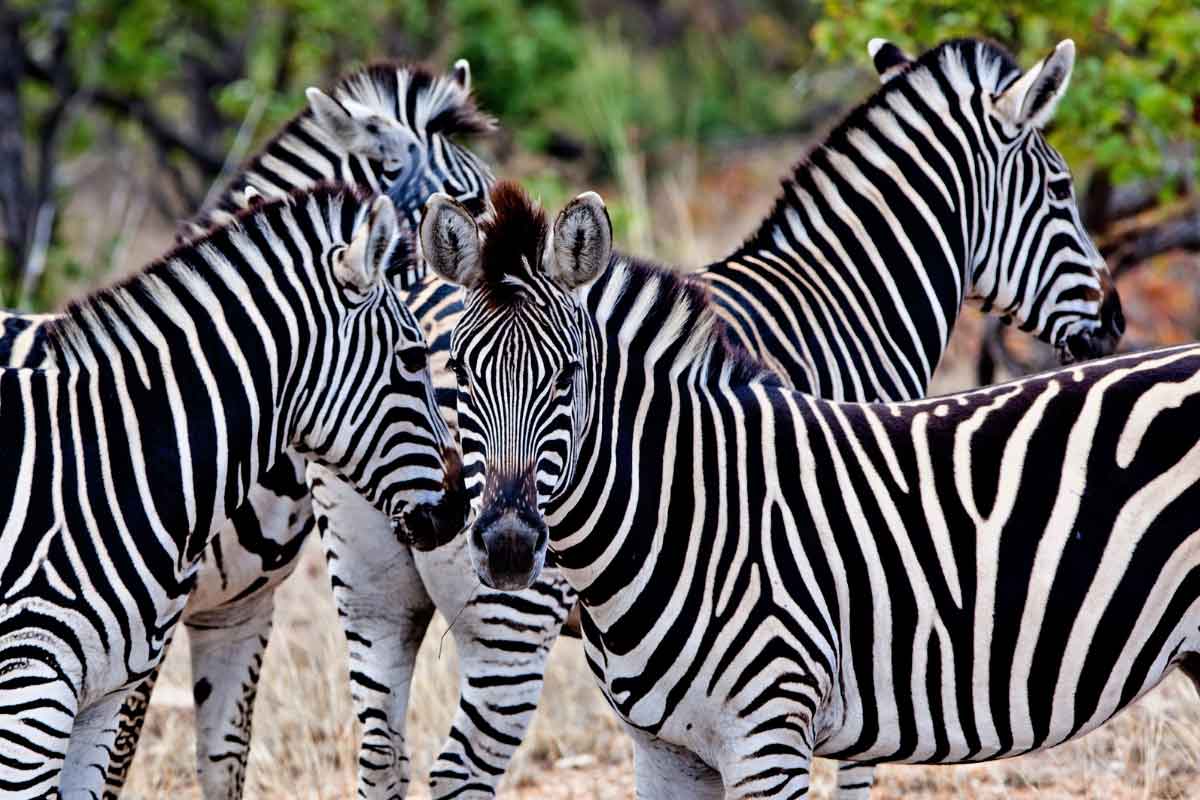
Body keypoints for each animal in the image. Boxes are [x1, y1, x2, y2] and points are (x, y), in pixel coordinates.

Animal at [424, 181, 1200, 800]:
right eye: (459, 372)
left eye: (569, 375)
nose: (509, 548)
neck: (691, 508)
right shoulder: (665, 753)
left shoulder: (769, 739)